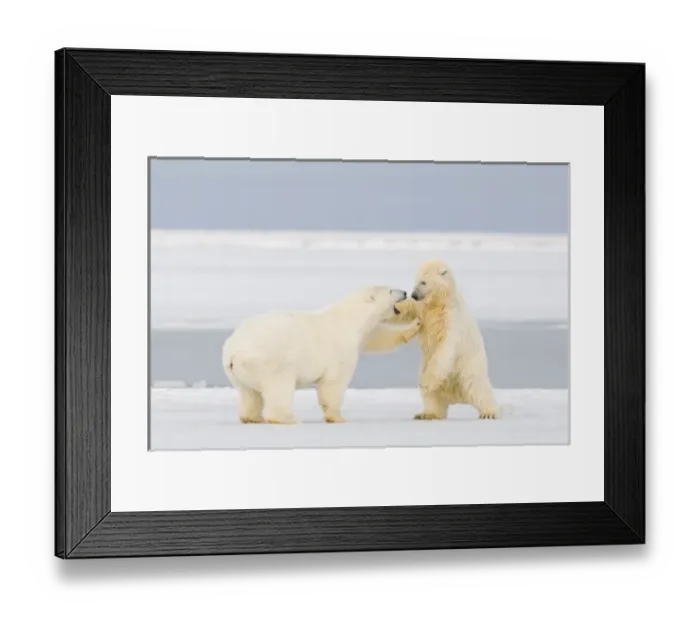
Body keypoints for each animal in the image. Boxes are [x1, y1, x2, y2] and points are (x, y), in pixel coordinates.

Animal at [221, 285, 420, 425]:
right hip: (269, 360)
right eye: (390, 290)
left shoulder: (362, 335)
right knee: (280, 387)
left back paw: (252, 417)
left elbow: (377, 337)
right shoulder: (341, 346)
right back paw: (288, 418)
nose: (405, 292)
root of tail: (233, 350)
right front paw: (338, 417)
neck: (351, 318)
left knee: (249, 394)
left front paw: (415, 326)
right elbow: (333, 383)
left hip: (240, 371)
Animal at [387, 259, 503, 421]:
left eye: (423, 282)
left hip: (469, 367)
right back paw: (426, 413)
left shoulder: (451, 317)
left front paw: (426, 382)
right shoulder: (422, 309)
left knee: (477, 387)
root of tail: (456, 395)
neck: (439, 302)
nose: (414, 294)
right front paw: (394, 304)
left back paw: (489, 412)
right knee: (431, 396)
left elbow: (445, 346)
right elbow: (407, 309)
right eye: (416, 281)